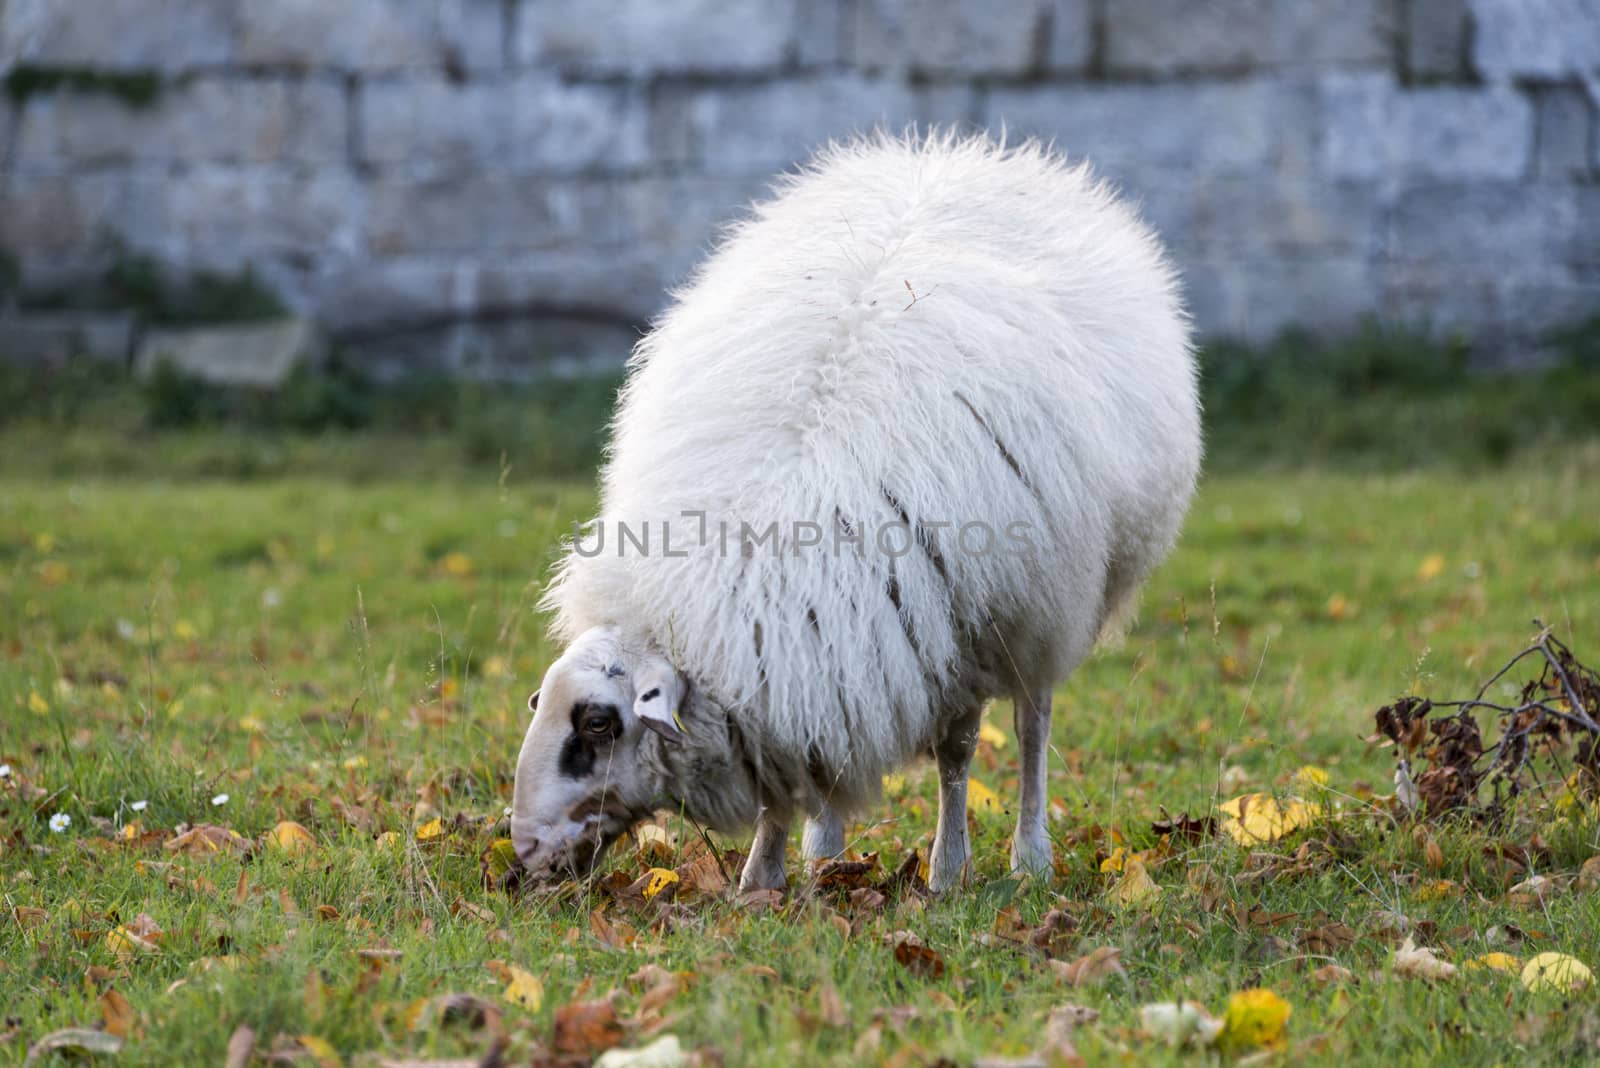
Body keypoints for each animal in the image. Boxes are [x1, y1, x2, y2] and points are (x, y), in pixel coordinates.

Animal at [512, 127, 1203, 895]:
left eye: (598, 725)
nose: (524, 853)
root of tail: (963, 151)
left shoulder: (966, 627)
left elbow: (959, 751)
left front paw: (947, 871)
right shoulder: (799, 661)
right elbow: (791, 765)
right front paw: (765, 874)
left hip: (1046, 612)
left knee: (1033, 723)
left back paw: (1030, 856)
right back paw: (826, 845)